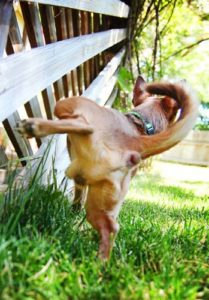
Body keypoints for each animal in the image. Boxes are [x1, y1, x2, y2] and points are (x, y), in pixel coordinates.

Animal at [17, 77, 198, 260]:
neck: (139, 125)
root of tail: (132, 141)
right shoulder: (83, 185)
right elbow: (78, 198)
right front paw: (74, 213)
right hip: (98, 204)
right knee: (110, 228)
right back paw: (100, 262)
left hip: (67, 104)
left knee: (84, 125)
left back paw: (34, 126)